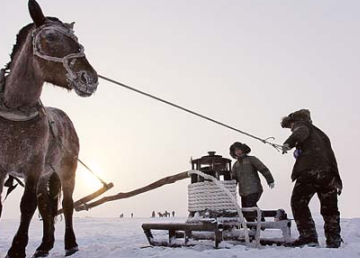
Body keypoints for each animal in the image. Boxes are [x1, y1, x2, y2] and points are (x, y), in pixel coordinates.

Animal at [0, 1, 98, 256]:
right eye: (51, 37)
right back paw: (44, 245)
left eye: (76, 39)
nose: (90, 79)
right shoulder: (1, 167)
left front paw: (17, 248)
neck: (16, 112)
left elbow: (27, 205)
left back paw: (70, 243)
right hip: (47, 173)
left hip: (66, 168)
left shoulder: (34, 166)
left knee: (66, 204)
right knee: (47, 206)